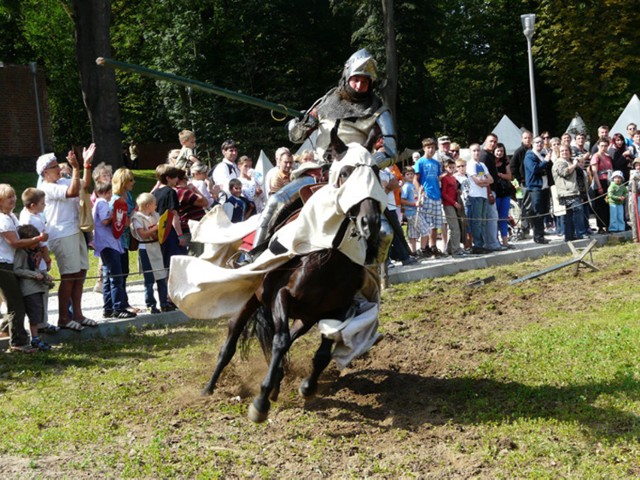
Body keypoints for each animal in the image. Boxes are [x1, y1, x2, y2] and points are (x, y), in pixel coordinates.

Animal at [205, 159, 382, 422]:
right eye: (345, 175)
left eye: (376, 175)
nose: (369, 222)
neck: (329, 260)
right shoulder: (281, 297)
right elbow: (279, 342)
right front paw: (261, 402)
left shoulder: (337, 310)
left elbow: (322, 353)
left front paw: (306, 387)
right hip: (250, 302)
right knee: (231, 342)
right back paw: (209, 387)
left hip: (305, 317)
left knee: (289, 339)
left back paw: (278, 381)